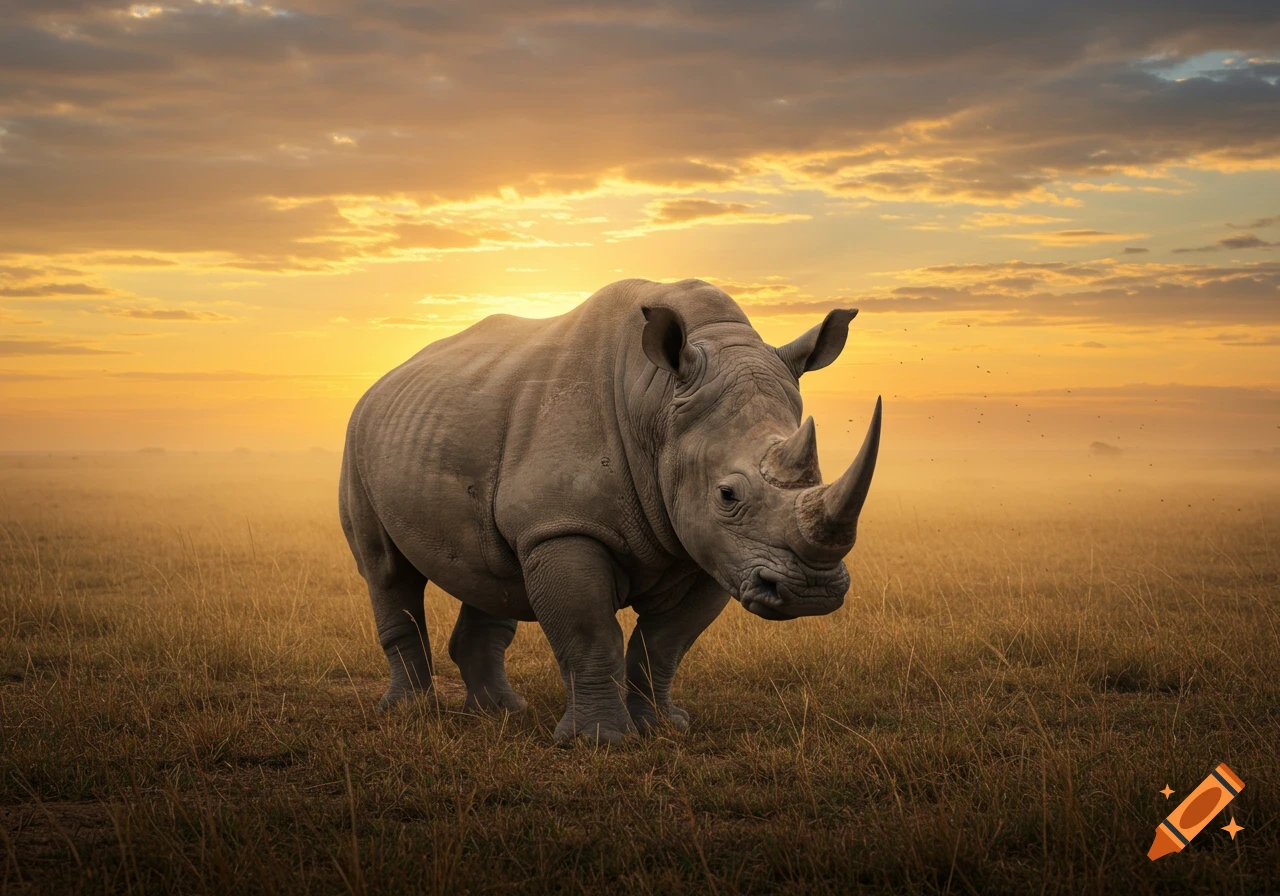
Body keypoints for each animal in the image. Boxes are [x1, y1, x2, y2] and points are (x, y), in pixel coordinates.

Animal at [339, 278, 880, 743]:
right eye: (728, 495)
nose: (811, 592)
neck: (658, 402)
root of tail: (382, 382)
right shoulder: (564, 527)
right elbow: (591, 634)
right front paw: (599, 741)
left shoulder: (714, 548)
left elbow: (664, 644)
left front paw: (662, 727)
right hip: (358, 438)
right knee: (386, 570)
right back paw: (410, 713)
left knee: (491, 573)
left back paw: (501, 712)